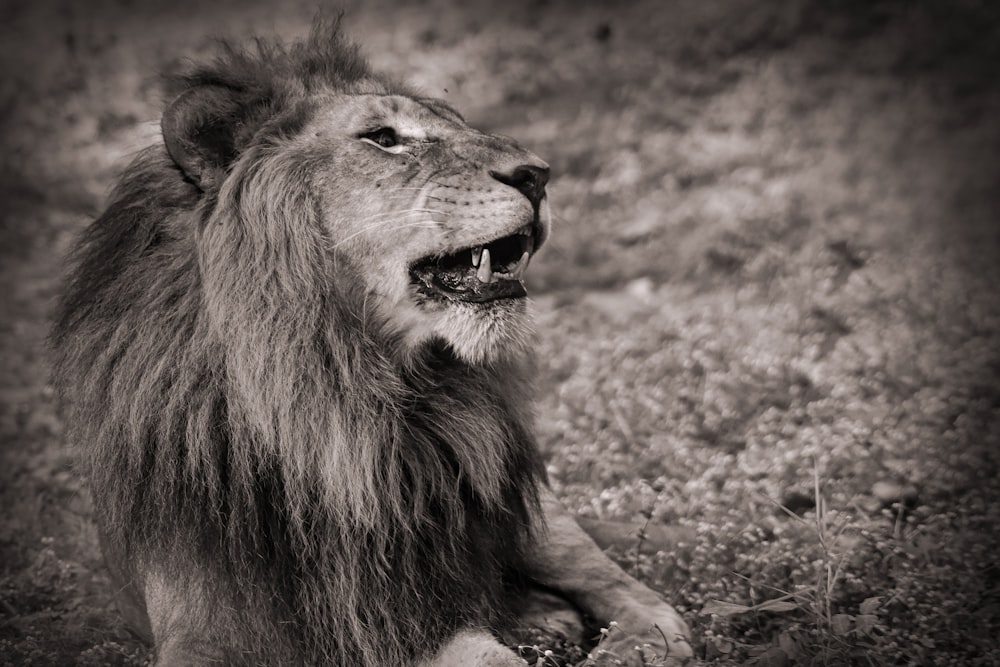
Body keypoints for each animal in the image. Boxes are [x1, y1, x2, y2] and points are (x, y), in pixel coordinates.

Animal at [52, 20, 688, 667]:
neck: (336, 394)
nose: (538, 173)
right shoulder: (204, 619)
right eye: (384, 138)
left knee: (637, 596)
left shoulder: (415, 606)